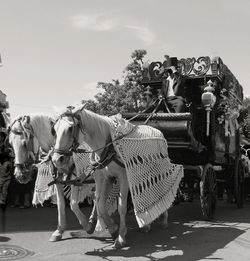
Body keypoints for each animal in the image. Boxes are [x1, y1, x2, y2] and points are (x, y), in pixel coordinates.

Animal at [8, 114, 97, 242]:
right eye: (10, 144)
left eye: (25, 143)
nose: (19, 175)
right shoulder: (58, 180)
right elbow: (60, 204)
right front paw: (59, 230)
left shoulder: (75, 178)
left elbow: (73, 204)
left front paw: (87, 226)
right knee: (96, 196)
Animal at [51, 105, 170, 248]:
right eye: (54, 130)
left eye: (70, 128)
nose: (57, 159)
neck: (109, 146)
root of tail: (157, 130)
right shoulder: (102, 178)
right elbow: (99, 204)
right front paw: (112, 228)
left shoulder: (123, 178)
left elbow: (121, 207)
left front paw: (120, 236)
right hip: (141, 171)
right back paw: (147, 224)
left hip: (156, 169)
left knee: (161, 189)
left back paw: (163, 219)